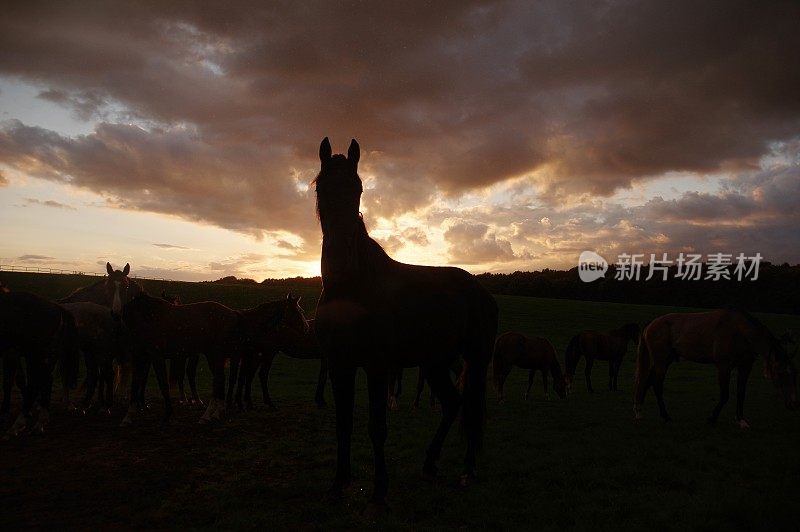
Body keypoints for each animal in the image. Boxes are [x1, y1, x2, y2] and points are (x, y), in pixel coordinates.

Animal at [0, 290, 79, 436]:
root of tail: (56, 307)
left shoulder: (11, 353)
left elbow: (10, 381)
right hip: (37, 355)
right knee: (44, 380)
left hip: (35, 354)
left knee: (36, 383)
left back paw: (19, 424)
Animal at [310, 138, 494, 502]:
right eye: (321, 188)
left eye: (358, 189)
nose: (340, 256)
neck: (353, 289)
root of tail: (478, 289)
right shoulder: (339, 365)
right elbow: (343, 424)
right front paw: (339, 483)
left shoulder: (378, 366)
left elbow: (377, 427)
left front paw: (380, 488)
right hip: (436, 362)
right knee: (453, 404)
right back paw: (430, 464)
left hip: (476, 360)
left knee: (472, 407)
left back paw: (466, 471)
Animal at [636, 308, 796, 428]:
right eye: (780, 372)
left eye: (793, 374)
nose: (792, 404)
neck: (740, 332)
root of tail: (650, 325)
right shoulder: (724, 367)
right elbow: (725, 395)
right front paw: (712, 418)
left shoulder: (745, 367)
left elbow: (741, 393)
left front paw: (741, 420)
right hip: (661, 361)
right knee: (656, 385)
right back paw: (665, 416)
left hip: (665, 360)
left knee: (648, 381)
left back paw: (639, 412)